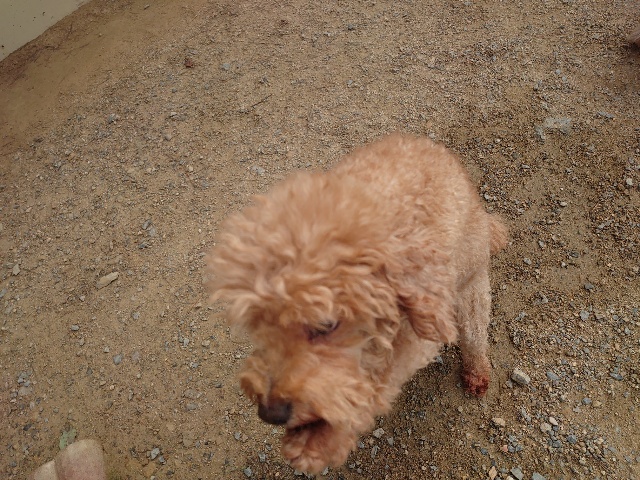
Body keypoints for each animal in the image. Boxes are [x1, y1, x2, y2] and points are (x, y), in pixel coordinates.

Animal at [206, 133, 508, 474]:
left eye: (326, 325)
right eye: (259, 325)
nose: (270, 413)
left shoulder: (420, 327)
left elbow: (380, 381)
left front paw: (322, 441)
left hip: (470, 279)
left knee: (475, 329)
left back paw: (477, 373)